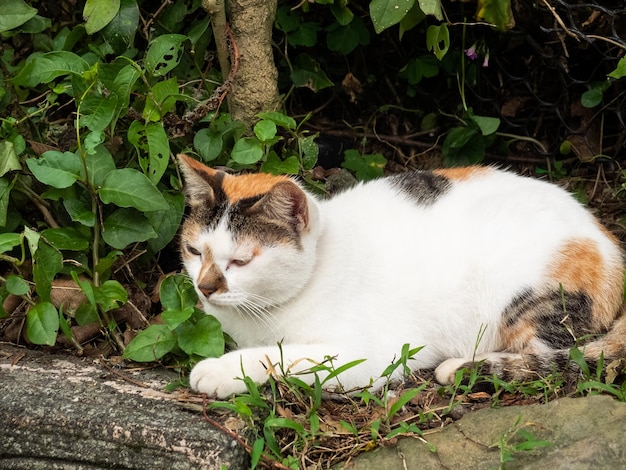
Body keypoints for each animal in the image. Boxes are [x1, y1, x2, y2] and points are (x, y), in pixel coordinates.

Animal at [177, 154, 624, 396]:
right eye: (195, 252)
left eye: (240, 262)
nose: (205, 287)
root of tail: (608, 240)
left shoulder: (366, 356)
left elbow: (283, 356)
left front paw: (220, 370)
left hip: (522, 294)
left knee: (548, 358)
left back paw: (463, 366)